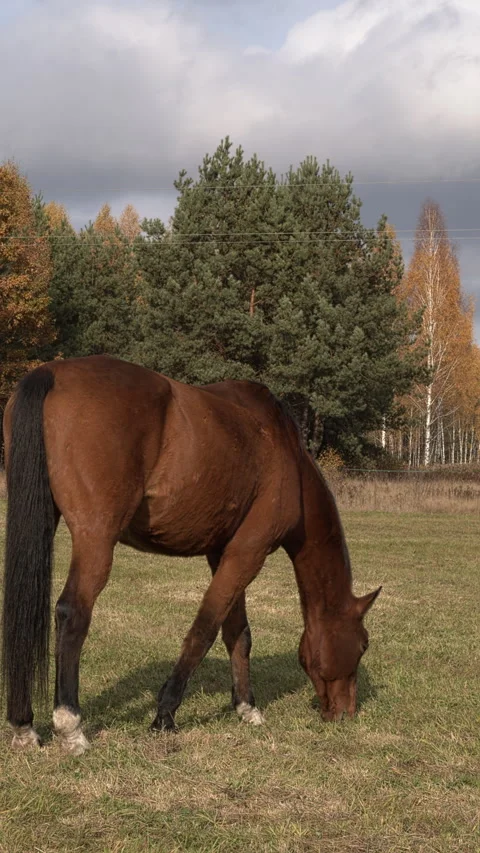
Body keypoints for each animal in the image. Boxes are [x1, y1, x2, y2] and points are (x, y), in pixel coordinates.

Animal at [1, 355, 380, 755]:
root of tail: (53, 373)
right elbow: (205, 628)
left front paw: (247, 707)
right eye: (363, 645)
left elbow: (238, 633)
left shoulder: (224, 554)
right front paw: (165, 714)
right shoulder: (248, 553)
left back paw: (24, 725)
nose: (345, 713)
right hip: (96, 540)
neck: (282, 447)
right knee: (72, 613)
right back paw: (71, 726)